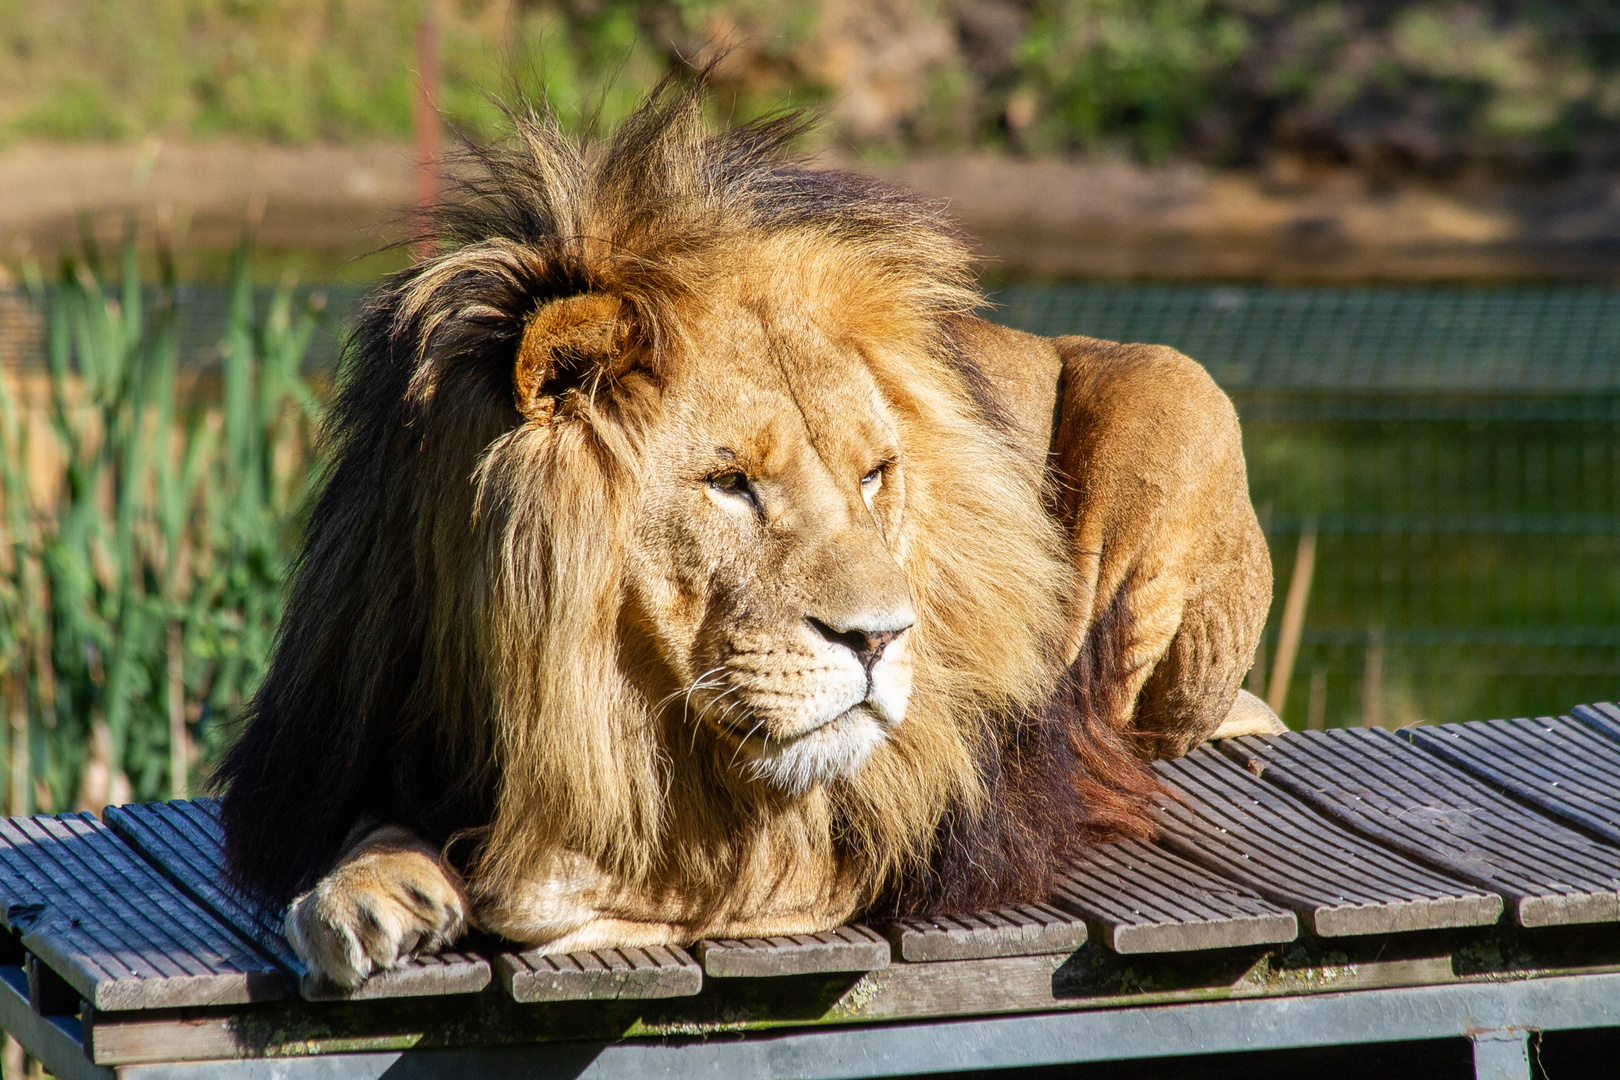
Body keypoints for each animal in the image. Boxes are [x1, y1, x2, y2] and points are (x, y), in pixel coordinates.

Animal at [218, 80, 1276, 990]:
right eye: (731, 485)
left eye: (873, 476)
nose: (881, 639)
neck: (572, 687)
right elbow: (362, 829)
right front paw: (359, 895)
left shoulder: (914, 823)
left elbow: (631, 877)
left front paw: (518, 882)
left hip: (1175, 394)